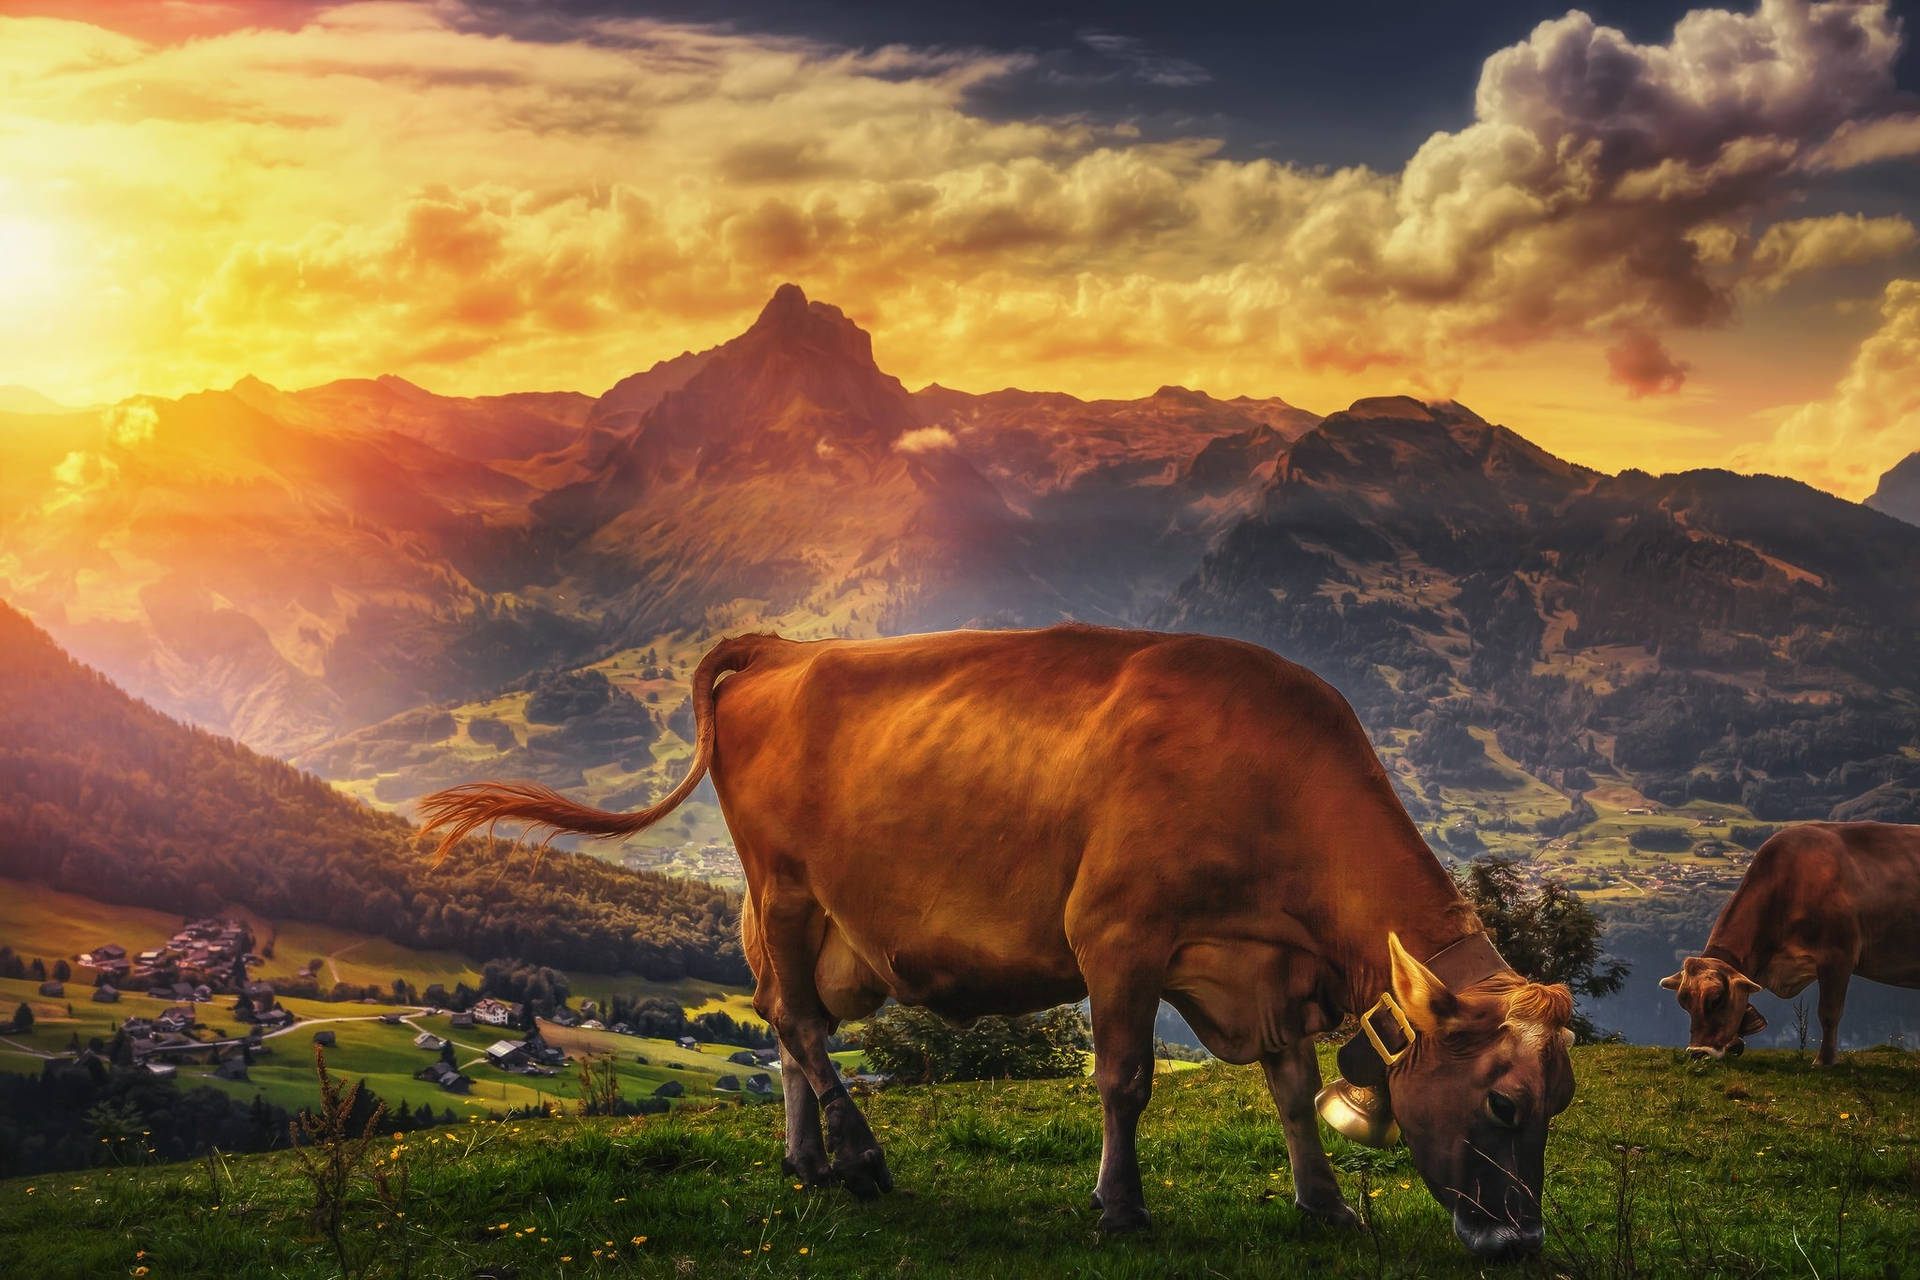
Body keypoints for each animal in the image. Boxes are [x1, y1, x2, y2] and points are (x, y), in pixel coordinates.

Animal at [424, 625, 1574, 1258]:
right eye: (1502, 1102)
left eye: (1559, 1102)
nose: (1519, 1241)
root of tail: (787, 649)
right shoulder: (1118, 936)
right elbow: (1124, 1080)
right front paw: (1119, 1206)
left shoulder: (1265, 969)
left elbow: (1291, 1090)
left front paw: (1325, 1204)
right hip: (786, 887)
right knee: (799, 1021)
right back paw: (859, 1154)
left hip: (804, 915)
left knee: (783, 1023)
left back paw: (806, 1159)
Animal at [1658, 825, 1912, 1066]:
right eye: (1684, 1003)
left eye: (1717, 999)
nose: (1698, 1053)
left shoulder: (1838, 956)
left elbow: (1829, 1013)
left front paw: (1824, 1060)